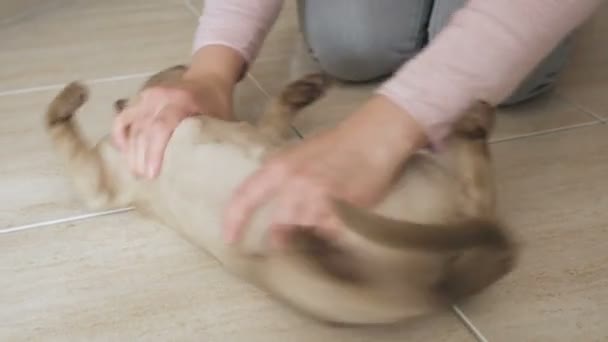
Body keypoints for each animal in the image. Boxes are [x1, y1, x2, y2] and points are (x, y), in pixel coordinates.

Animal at [45, 65, 516, 326]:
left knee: (480, 199)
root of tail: (441, 284)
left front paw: (305, 88)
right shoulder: (100, 185)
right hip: (311, 272)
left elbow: (277, 109)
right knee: (477, 200)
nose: (120, 104)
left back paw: (474, 119)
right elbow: (55, 123)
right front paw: (72, 95)